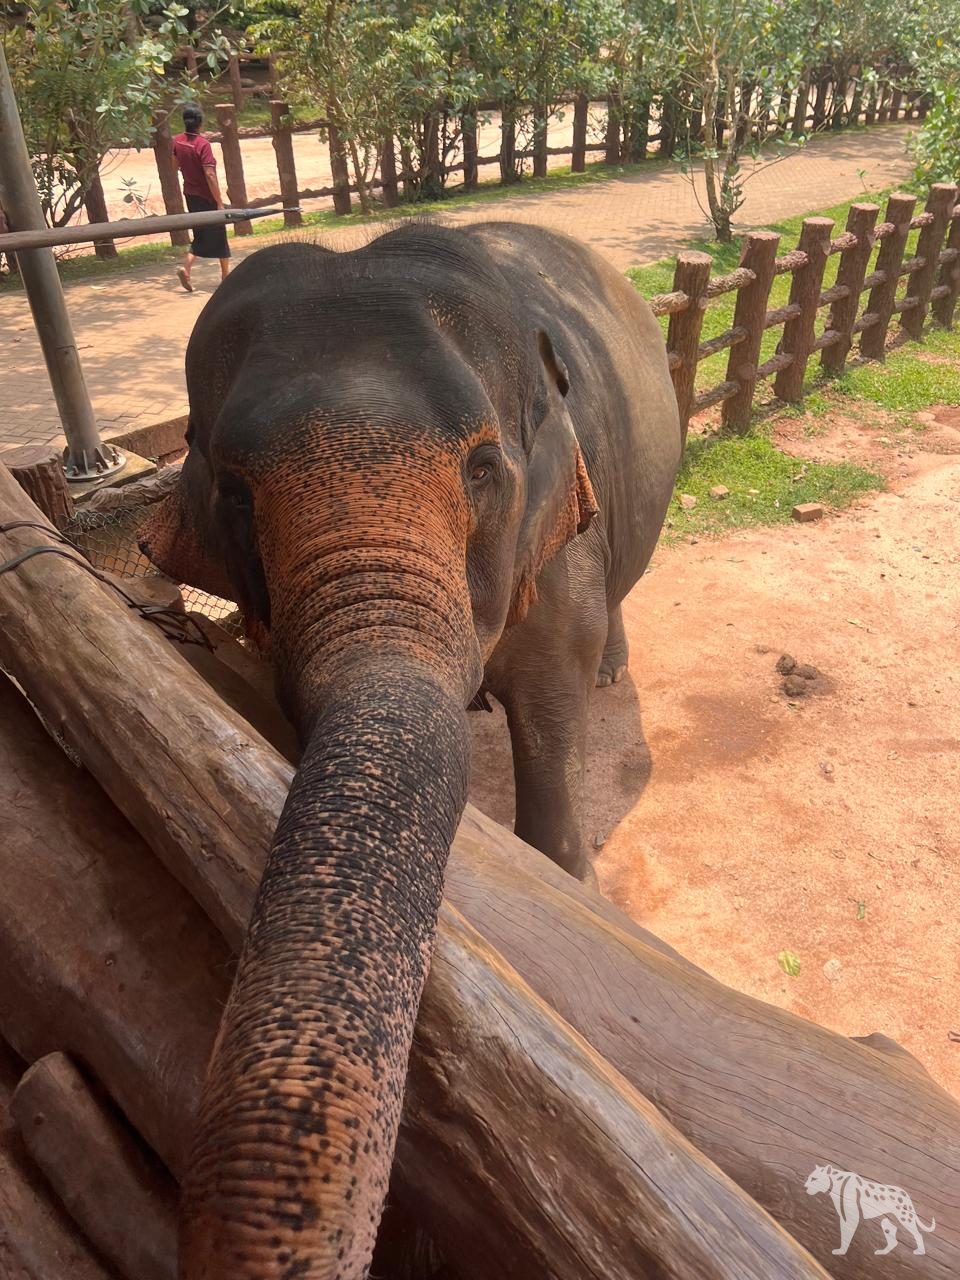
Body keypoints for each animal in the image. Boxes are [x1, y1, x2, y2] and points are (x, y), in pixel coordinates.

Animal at [138, 219, 681, 1279]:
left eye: (482, 465)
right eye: (231, 488)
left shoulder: (560, 532)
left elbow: (552, 695)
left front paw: (569, 880)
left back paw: (611, 673)